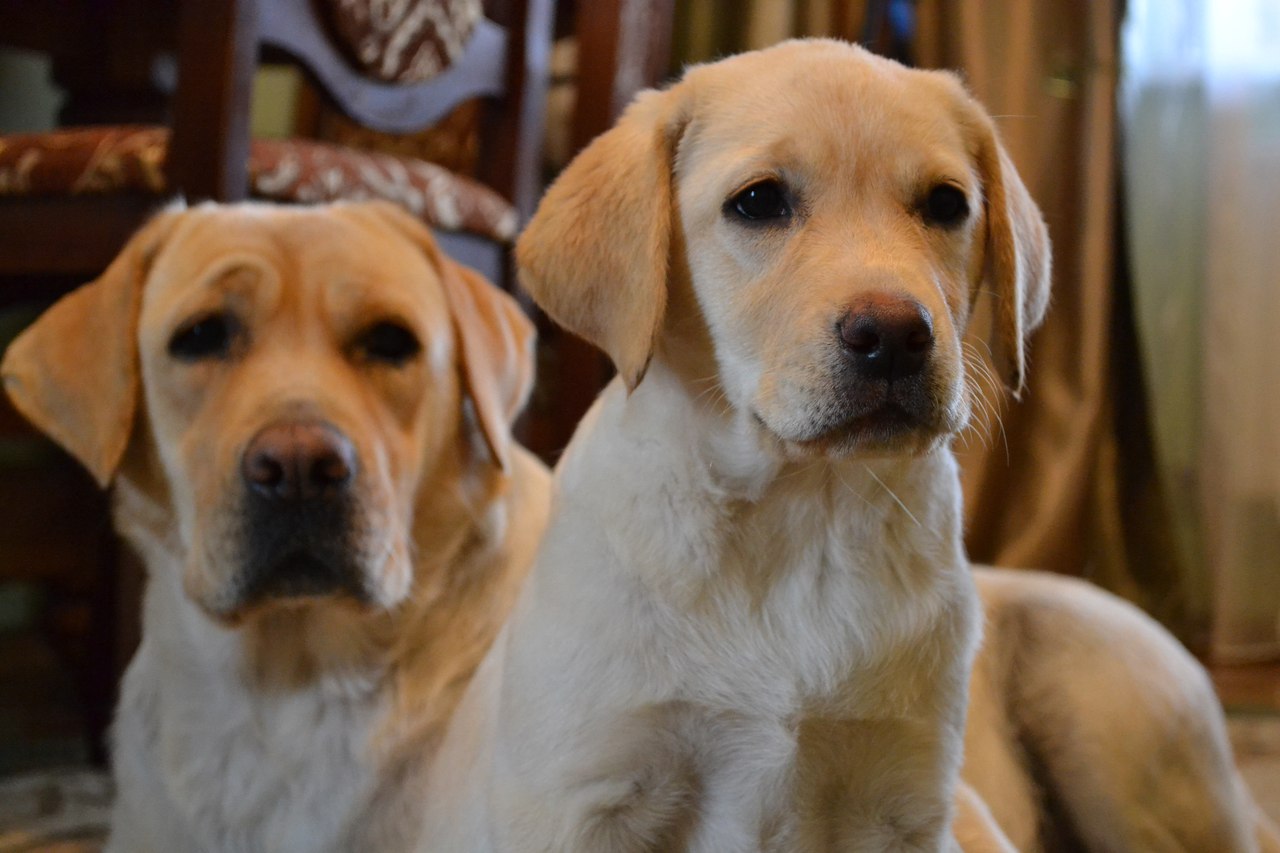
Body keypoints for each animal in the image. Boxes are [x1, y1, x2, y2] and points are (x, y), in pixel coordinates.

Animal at [424, 39, 1274, 850]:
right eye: (759, 201)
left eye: (947, 204)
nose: (895, 335)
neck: (801, 507)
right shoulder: (585, 795)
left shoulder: (902, 798)